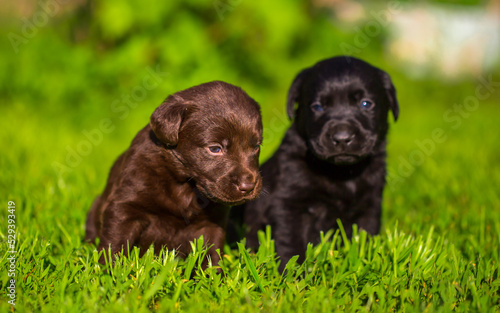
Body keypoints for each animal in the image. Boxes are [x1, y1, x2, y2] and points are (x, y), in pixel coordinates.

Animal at [85, 81, 262, 266]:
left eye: (256, 146)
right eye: (215, 148)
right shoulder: (125, 206)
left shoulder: (212, 223)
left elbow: (211, 254)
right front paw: (108, 270)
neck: (186, 184)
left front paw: (213, 274)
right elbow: (115, 243)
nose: (248, 186)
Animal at [232, 56, 400, 268]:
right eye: (318, 107)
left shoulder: (370, 205)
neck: (340, 173)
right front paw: (292, 271)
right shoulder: (288, 203)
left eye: (365, 104)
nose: (342, 138)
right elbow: (291, 240)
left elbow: (365, 235)